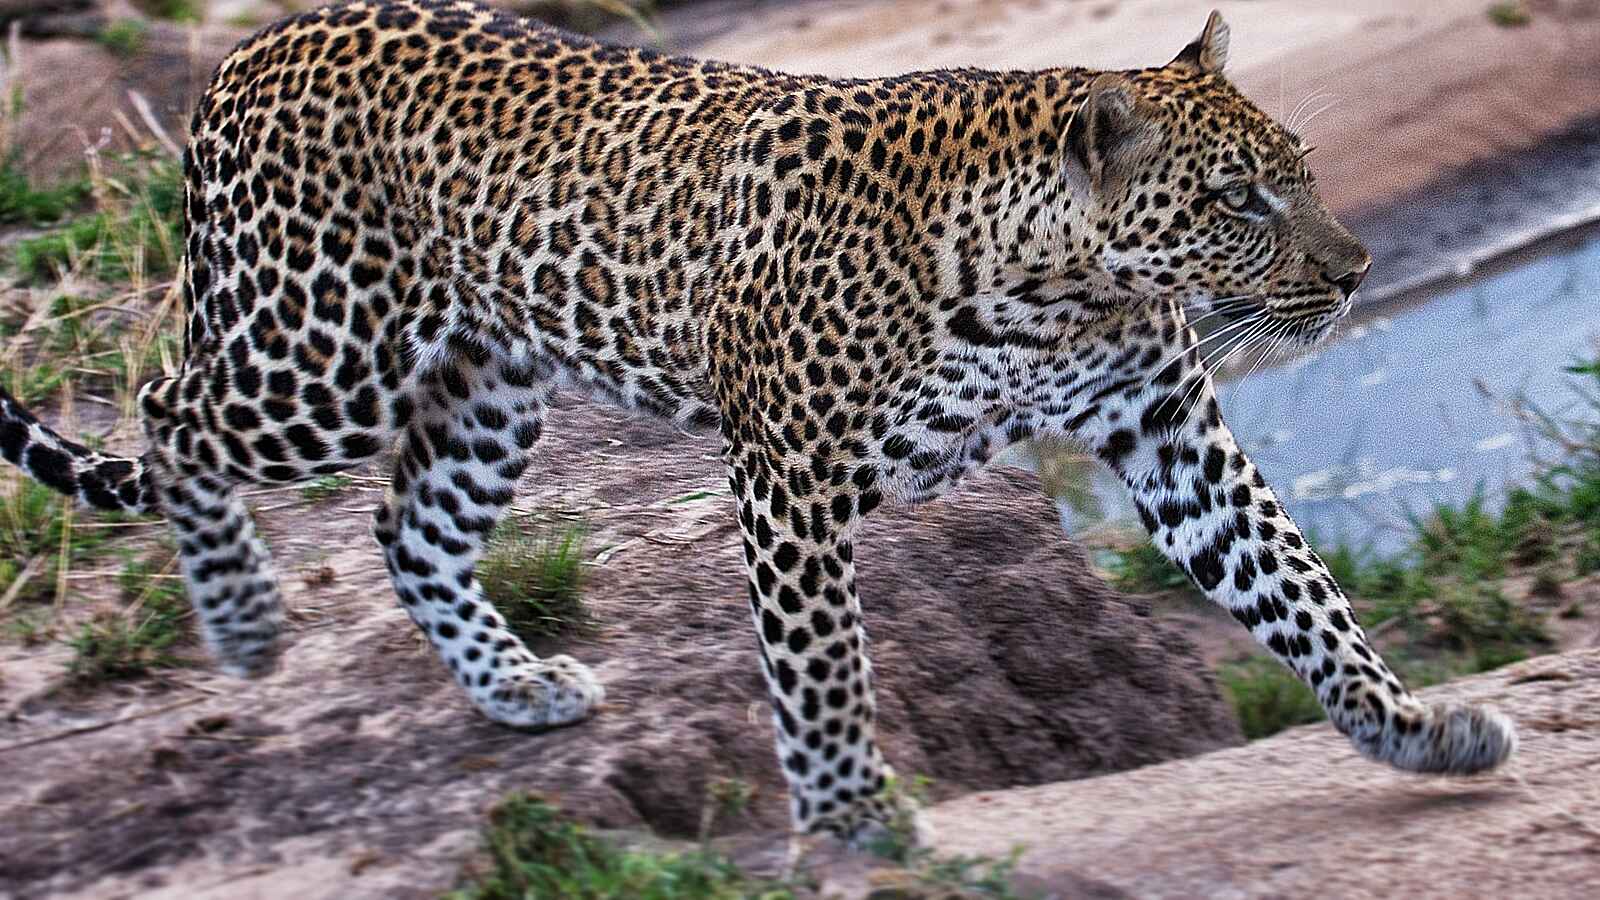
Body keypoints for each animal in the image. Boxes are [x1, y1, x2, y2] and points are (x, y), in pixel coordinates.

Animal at [0, 0, 1516, 842]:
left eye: (1301, 170)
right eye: (1233, 200)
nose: (1357, 272)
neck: (1060, 288)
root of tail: (245, 51)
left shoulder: (1168, 431)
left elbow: (1297, 590)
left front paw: (1412, 730)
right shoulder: (788, 472)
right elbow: (821, 665)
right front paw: (854, 817)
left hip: (488, 377)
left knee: (405, 523)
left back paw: (515, 687)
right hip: (321, 353)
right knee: (171, 415)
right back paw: (244, 622)